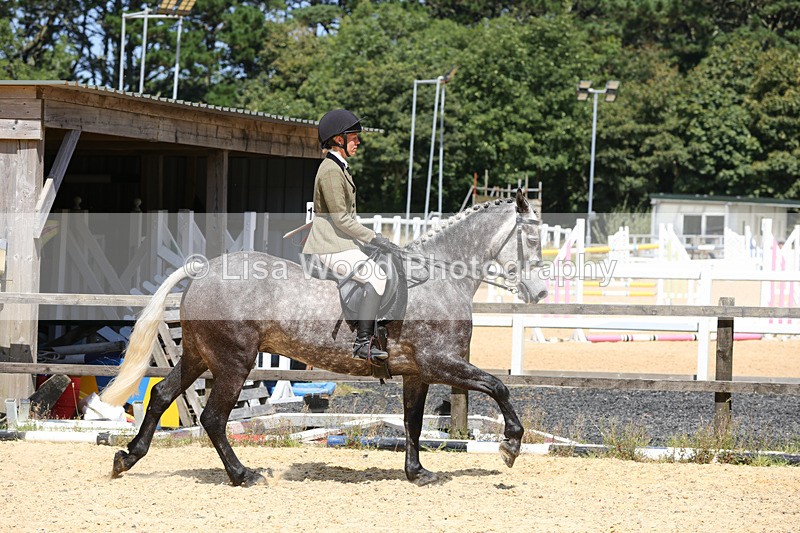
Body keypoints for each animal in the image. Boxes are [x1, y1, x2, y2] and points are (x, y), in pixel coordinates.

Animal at [101, 189, 548, 487]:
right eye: (532, 239)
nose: (541, 294)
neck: (439, 277)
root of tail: (204, 269)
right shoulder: (440, 362)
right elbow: (497, 385)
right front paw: (510, 445)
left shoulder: (417, 372)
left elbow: (414, 421)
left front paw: (417, 472)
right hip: (233, 361)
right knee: (213, 417)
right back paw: (242, 474)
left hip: (199, 354)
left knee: (161, 395)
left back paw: (127, 458)